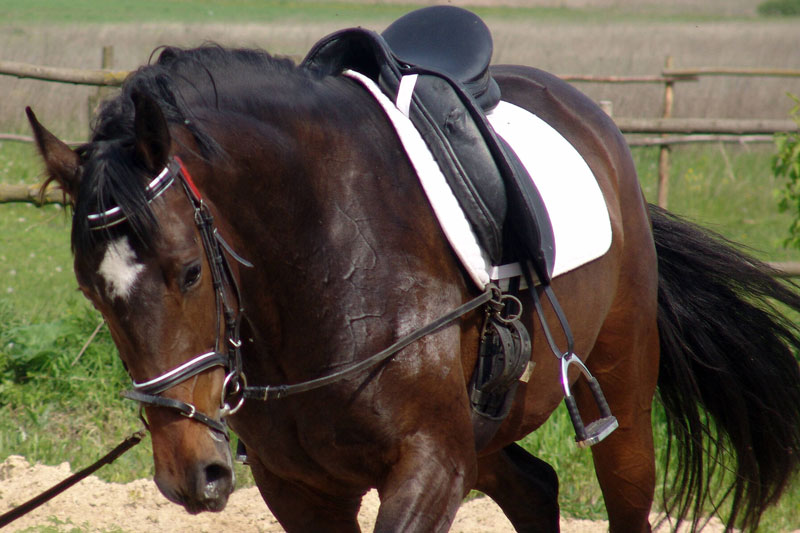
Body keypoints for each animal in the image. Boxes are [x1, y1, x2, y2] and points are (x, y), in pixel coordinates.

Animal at [27, 34, 800, 533]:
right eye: (92, 292)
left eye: (189, 271)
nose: (191, 474)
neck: (323, 260)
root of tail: (598, 126)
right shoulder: (299, 488)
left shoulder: (431, 465)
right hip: (487, 429)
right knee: (534, 489)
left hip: (622, 401)